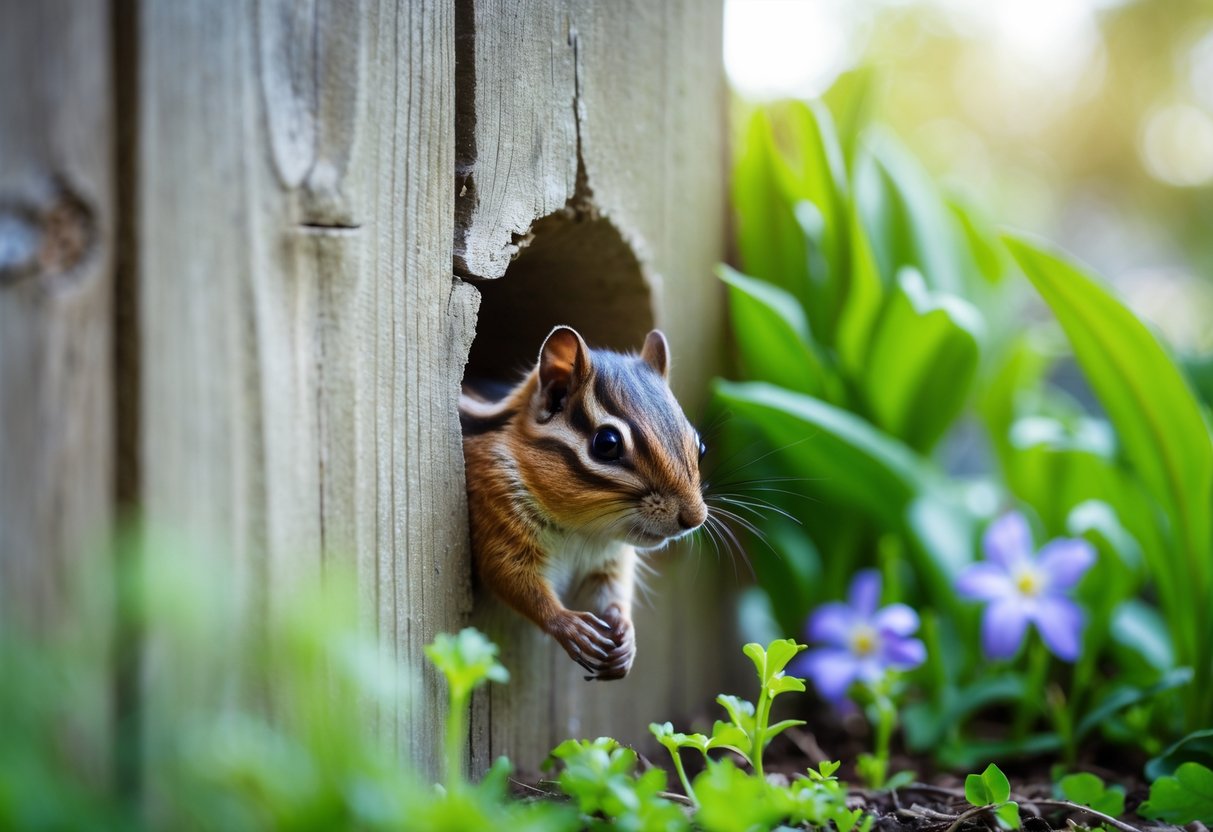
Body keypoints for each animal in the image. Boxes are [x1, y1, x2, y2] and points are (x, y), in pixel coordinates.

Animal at [460, 325, 708, 680]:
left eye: (700, 446)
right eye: (607, 444)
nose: (695, 519)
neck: (582, 531)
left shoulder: (611, 559)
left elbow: (613, 589)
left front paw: (625, 634)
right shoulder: (498, 520)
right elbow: (511, 577)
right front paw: (568, 626)